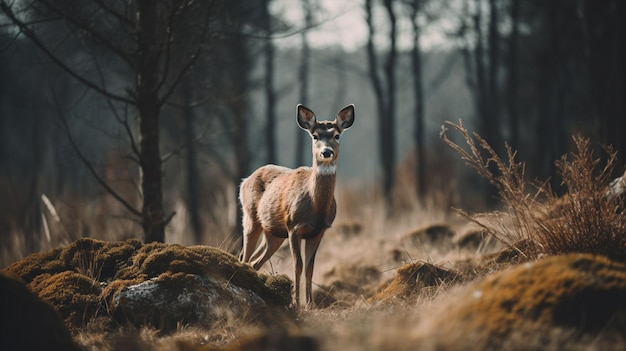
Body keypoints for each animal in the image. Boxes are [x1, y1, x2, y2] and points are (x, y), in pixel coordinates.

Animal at [239, 104, 354, 308]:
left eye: (337, 135)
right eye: (315, 136)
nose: (326, 152)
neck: (316, 209)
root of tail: (244, 181)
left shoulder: (319, 231)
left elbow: (310, 267)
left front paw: (310, 304)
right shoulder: (293, 226)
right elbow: (298, 265)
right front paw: (297, 304)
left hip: (274, 233)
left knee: (253, 261)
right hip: (250, 217)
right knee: (245, 257)